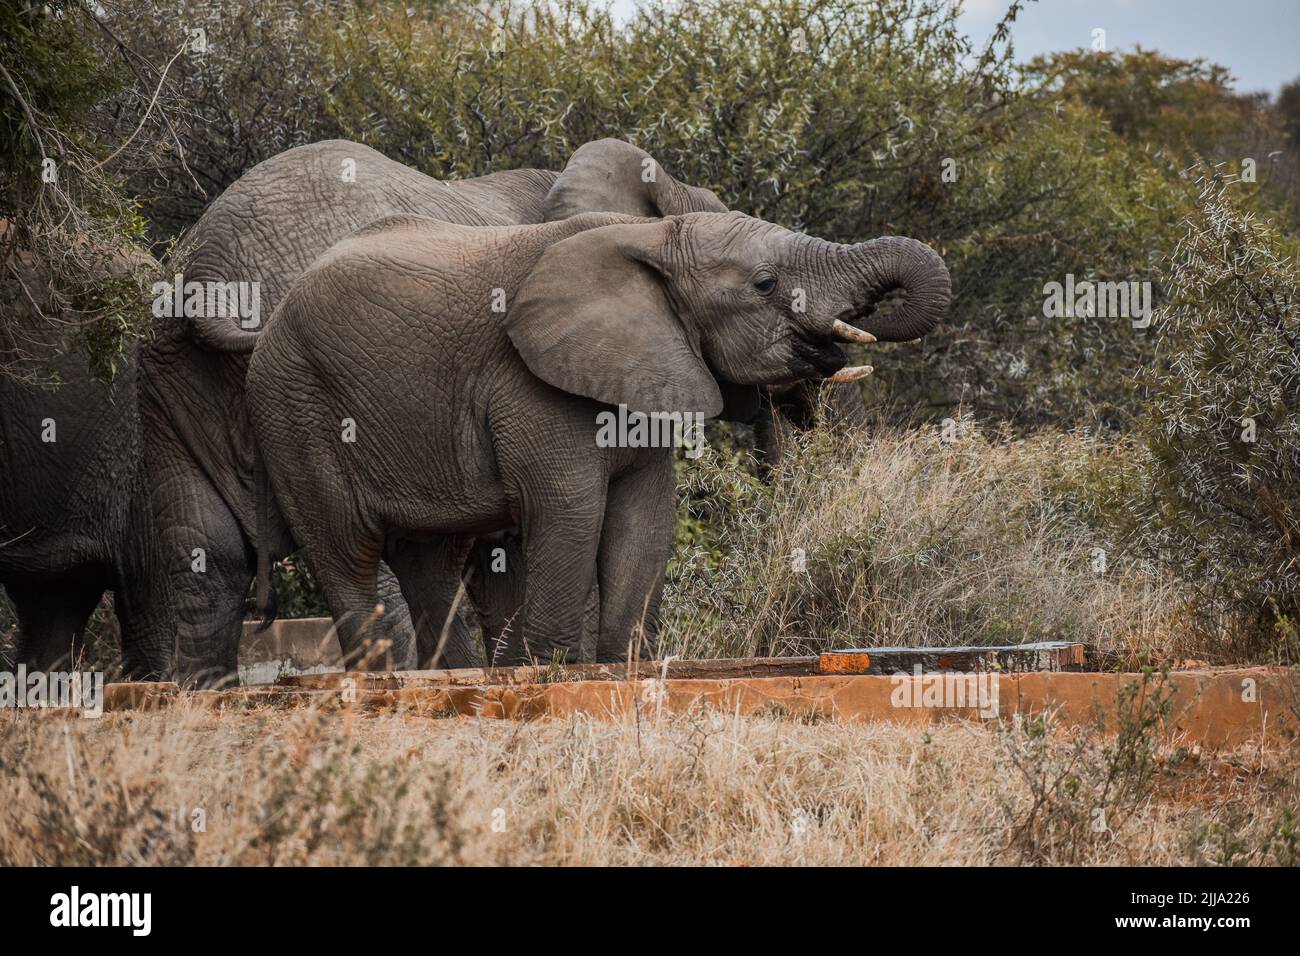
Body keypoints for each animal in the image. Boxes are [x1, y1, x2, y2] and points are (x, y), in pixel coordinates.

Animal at [245, 213, 956, 671]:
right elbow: (570, 508)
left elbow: (646, 516)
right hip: (294, 407)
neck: (655, 238)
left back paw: (453, 677)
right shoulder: (531, 381)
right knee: (347, 551)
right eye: (764, 283)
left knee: (431, 560)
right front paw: (555, 672)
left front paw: (624, 666)